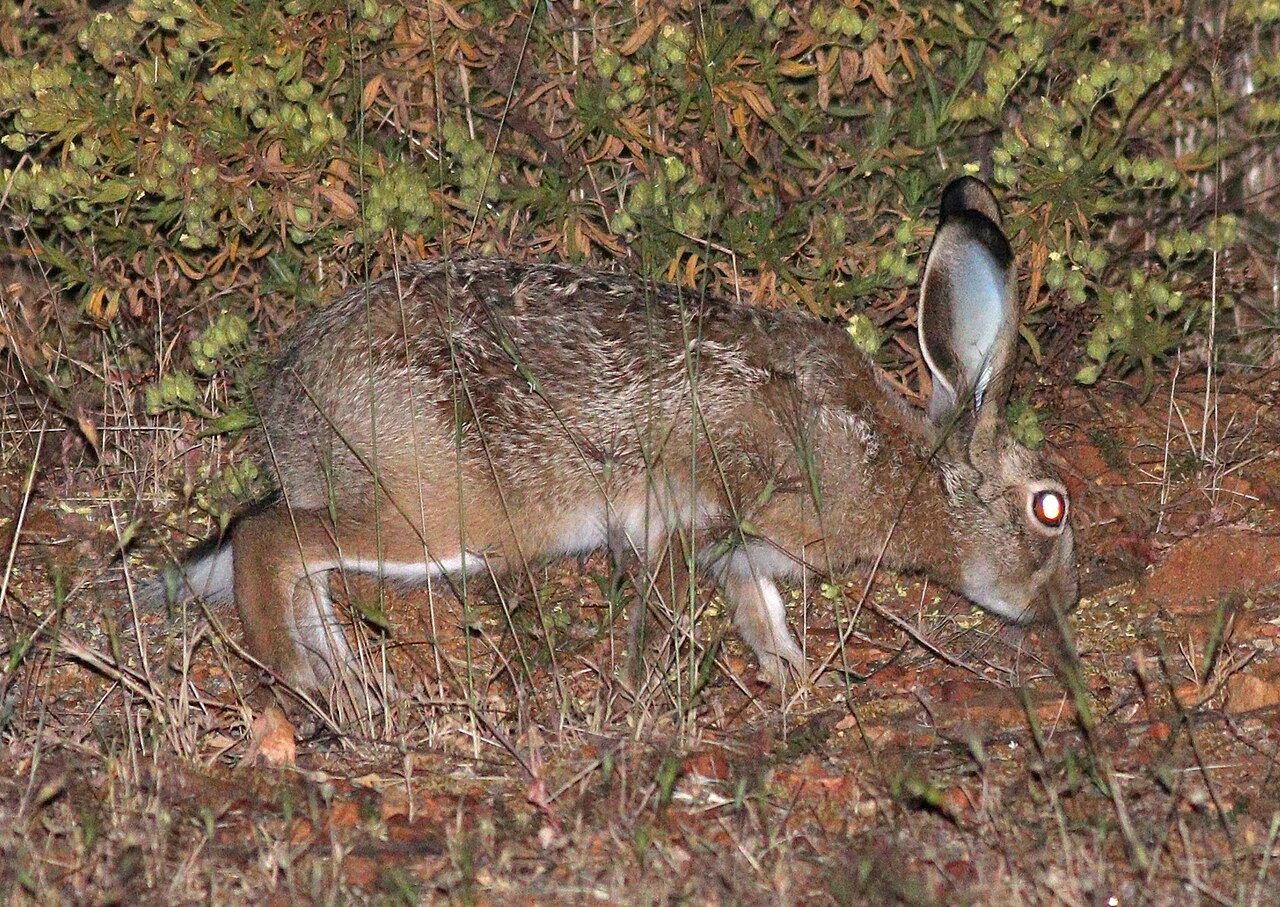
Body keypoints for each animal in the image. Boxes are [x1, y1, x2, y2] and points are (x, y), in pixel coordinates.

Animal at [161, 176, 1078, 698]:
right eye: (1050, 507)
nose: (1058, 606)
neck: (903, 468)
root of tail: (289, 400)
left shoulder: (743, 549)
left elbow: (758, 602)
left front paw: (787, 672)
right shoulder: (714, 504)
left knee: (301, 560)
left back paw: (340, 671)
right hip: (437, 512)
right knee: (267, 538)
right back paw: (301, 674)